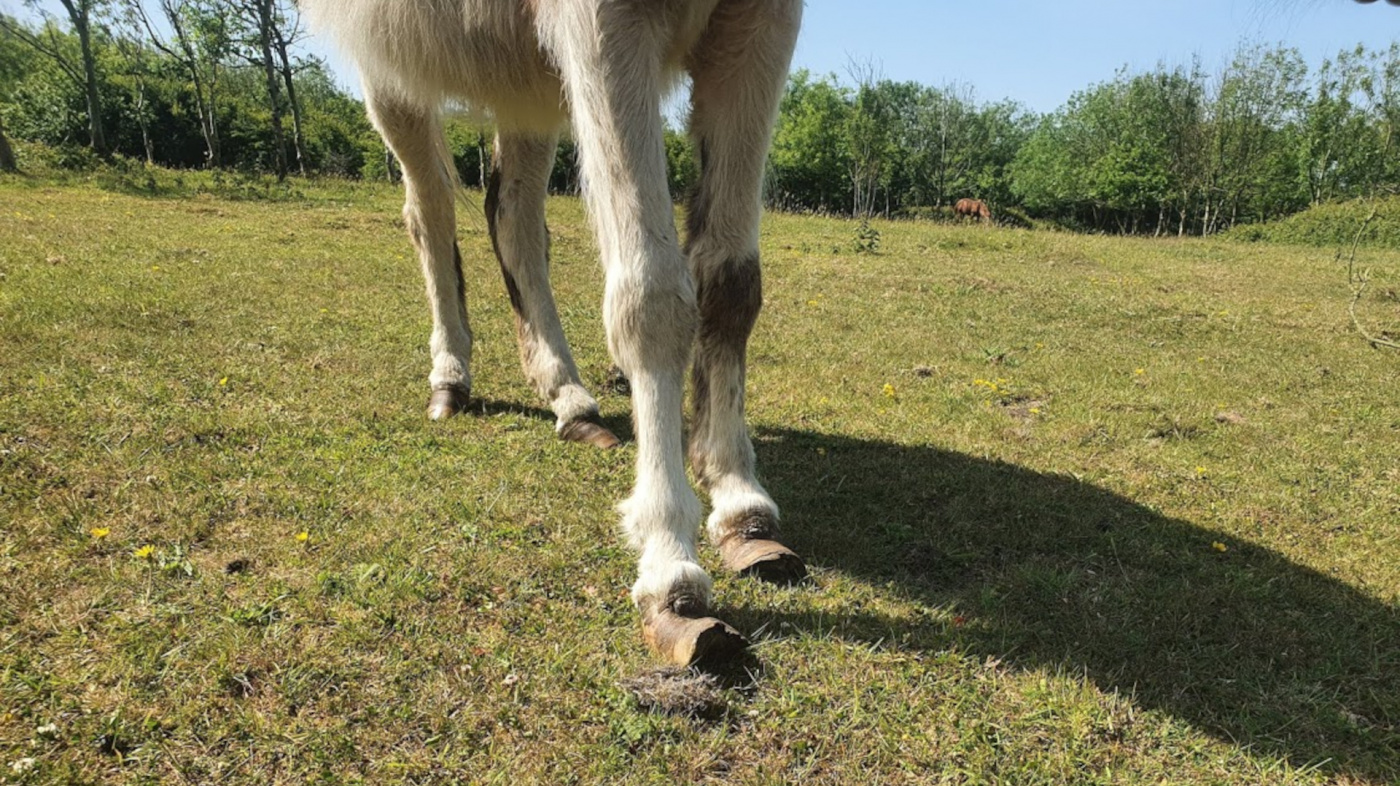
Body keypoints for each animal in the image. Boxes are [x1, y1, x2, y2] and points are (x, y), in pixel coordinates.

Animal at [303, 0, 812, 664]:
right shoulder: (603, 22)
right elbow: (651, 298)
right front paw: (670, 566)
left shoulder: (762, 20)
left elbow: (730, 283)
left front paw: (739, 506)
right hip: (394, 68)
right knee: (430, 208)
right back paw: (450, 377)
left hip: (526, 80)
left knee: (513, 215)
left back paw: (569, 399)